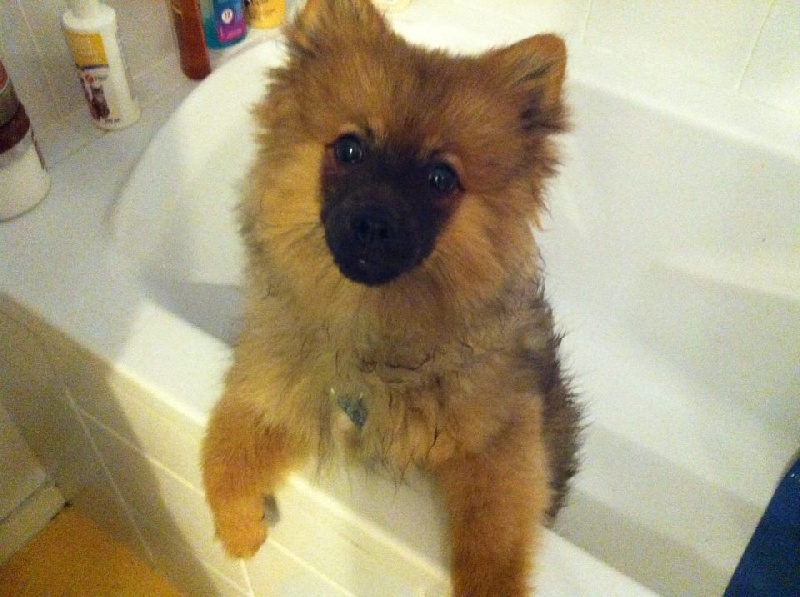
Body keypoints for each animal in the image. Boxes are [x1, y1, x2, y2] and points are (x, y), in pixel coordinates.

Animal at [202, 0, 582, 594]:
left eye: (440, 178)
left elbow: (493, 541)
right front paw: (239, 528)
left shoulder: (499, 439)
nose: (373, 223)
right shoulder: (271, 387)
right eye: (350, 149)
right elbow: (223, 453)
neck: (373, 333)